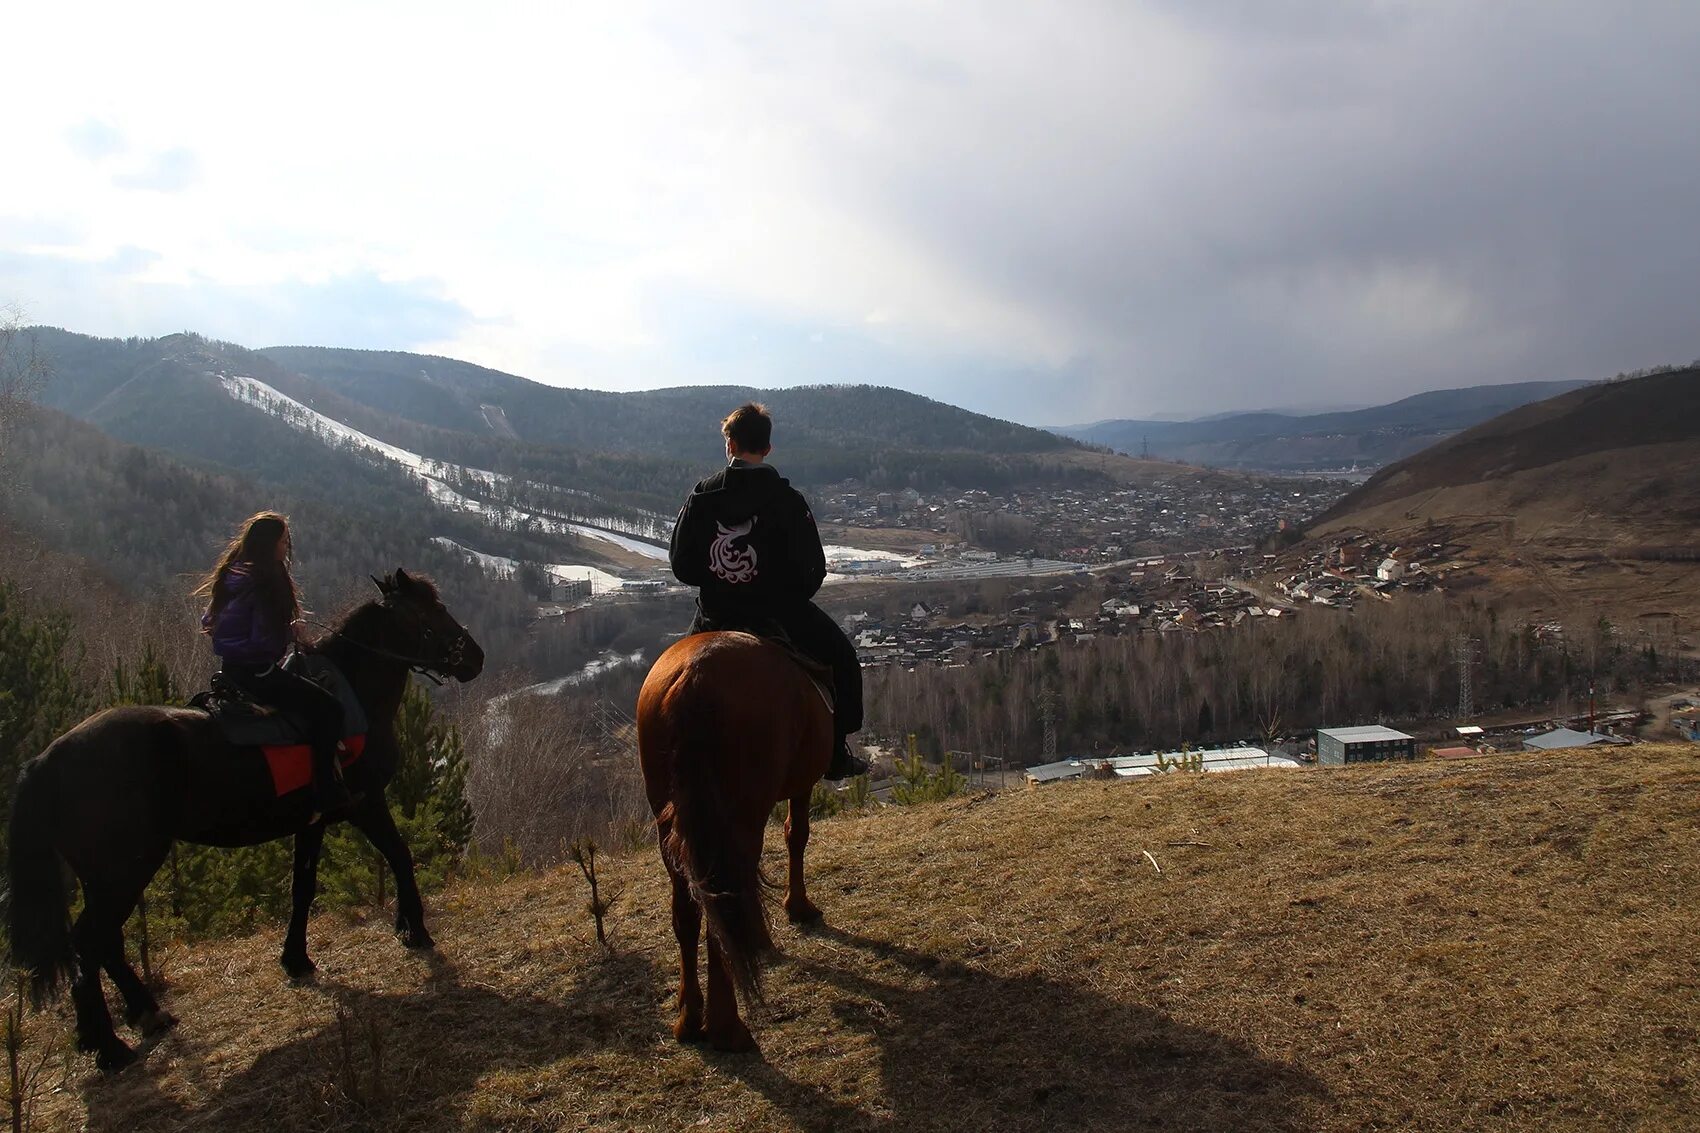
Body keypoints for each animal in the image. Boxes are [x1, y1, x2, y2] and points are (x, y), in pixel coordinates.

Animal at [6, 568, 486, 1061]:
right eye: (433, 611)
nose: (476, 656)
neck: (356, 695)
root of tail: (46, 759)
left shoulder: (313, 823)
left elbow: (302, 889)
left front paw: (297, 959)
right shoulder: (365, 803)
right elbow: (400, 856)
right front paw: (414, 929)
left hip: (105, 874)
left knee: (104, 942)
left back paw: (140, 1016)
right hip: (124, 867)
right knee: (91, 940)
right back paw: (109, 1045)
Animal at [635, 629, 833, 1047]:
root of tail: (694, 677)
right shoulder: (802, 784)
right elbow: (796, 835)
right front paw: (798, 907)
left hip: (671, 825)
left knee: (690, 909)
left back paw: (691, 1018)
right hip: (740, 816)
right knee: (722, 903)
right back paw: (727, 1026)